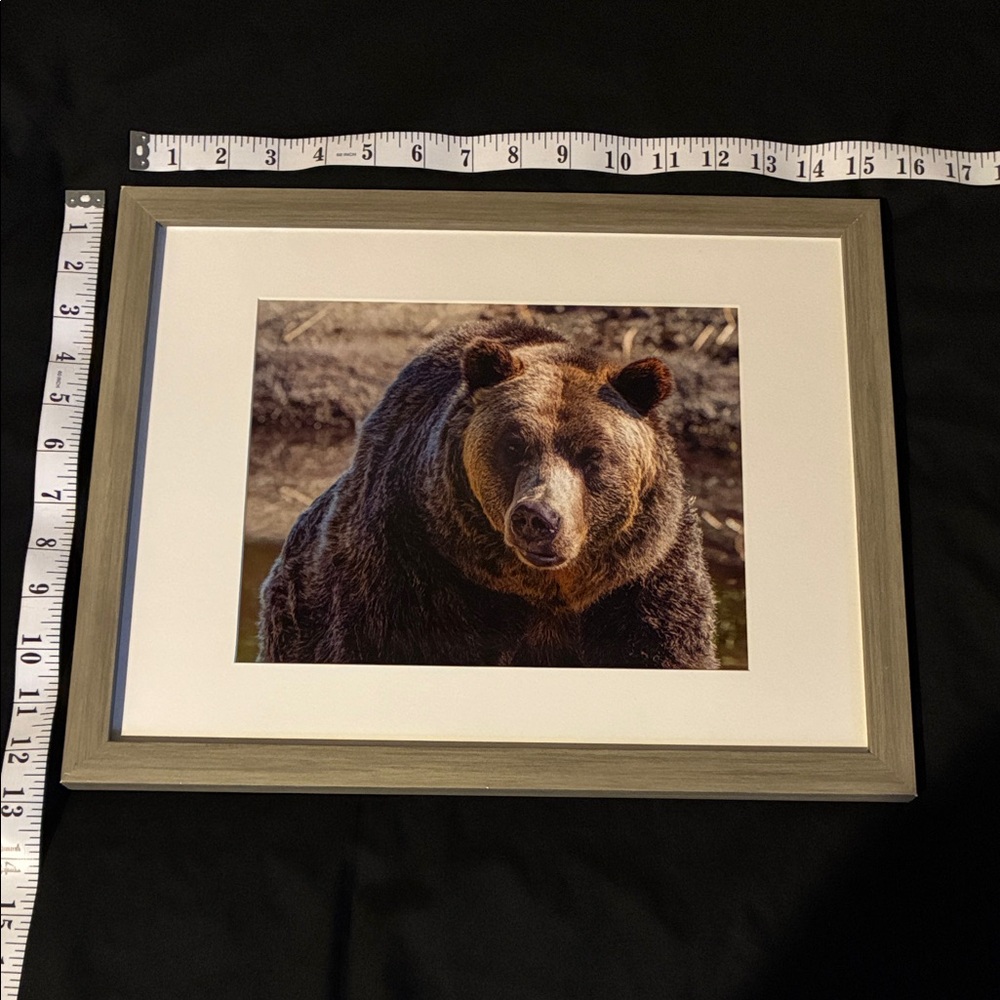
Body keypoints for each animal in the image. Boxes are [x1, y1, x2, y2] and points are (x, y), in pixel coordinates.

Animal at [258, 318, 719, 669]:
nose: (538, 517)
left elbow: (670, 646)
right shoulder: (408, 567)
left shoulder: (644, 580)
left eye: (592, 455)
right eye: (514, 446)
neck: (543, 592)